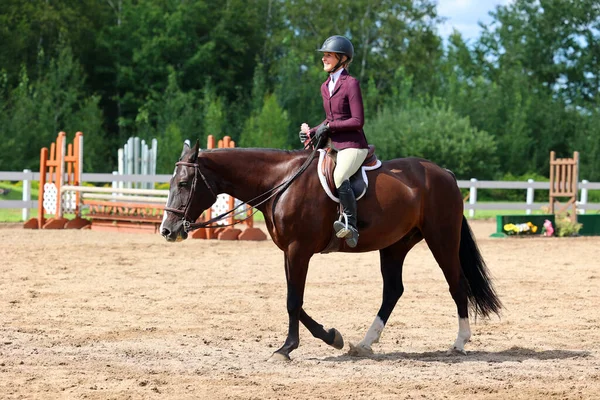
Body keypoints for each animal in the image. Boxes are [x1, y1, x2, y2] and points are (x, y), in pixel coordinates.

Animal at [159, 141, 502, 362]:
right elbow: (295, 300)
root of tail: (443, 173)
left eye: (185, 183)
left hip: (441, 238)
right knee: (393, 290)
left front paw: (286, 348)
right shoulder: (289, 252)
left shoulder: (299, 250)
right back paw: (364, 343)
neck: (281, 182)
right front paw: (331, 336)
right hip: (395, 245)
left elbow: (293, 301)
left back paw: (460, 342)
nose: (167, 230)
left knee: (456, 284)